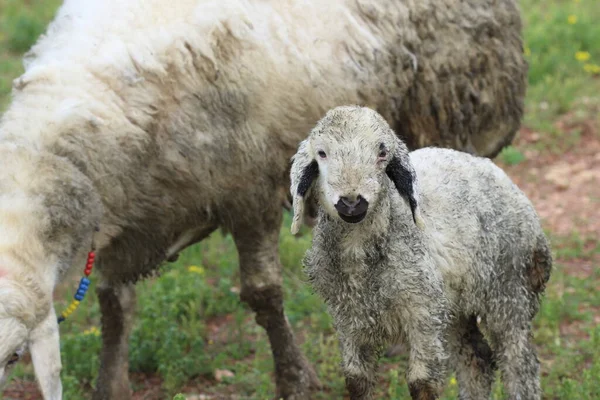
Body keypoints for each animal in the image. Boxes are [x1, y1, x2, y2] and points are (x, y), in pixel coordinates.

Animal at [0, 0, 524, 398]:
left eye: (14, 355)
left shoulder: (246, 192)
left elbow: (263, 293)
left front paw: (293, 379)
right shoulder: (123, 222)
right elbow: (113, 308)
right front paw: (110, 384)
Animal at [290, 106, 552, 400]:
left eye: (382, 153)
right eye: (322, 153)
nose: (352, 203)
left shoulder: (421, 310)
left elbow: (422, 384)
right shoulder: (348, 317)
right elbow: (356, 382)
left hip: (508, 288)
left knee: (519, 362)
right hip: (453, 304)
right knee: (477, 358)